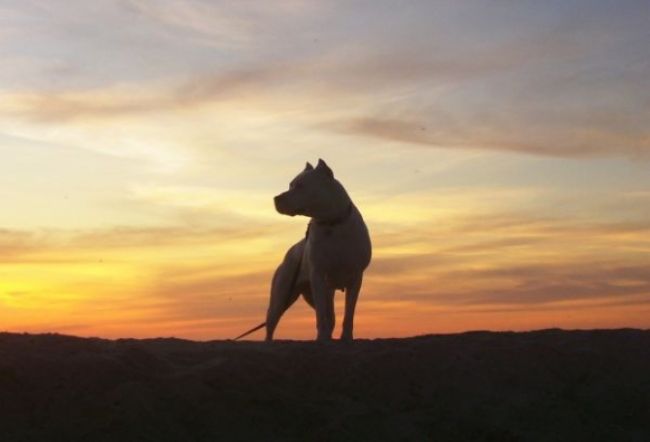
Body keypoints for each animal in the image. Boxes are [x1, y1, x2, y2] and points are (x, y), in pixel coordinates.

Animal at [233, 159, 370, 342]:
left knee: (331, 316)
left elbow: (348, 314)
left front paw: (346, 337)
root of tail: (290, 252)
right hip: (281, 297)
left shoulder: (355, 278)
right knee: (271, 325)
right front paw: (322, 338)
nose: (276, 198)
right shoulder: (318, 276)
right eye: (290, 185)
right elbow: (321, 315)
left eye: (300, 186)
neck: (331, 223)